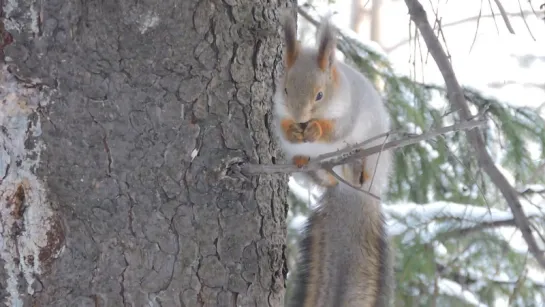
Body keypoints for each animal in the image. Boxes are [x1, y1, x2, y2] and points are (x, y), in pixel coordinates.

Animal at [272, 12, 396, 307]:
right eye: (285, 89)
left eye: (319, 94)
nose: (300, 117)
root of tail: (352, 191)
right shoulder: (279, 112)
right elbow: (283, 127)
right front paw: (293, 131)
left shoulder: (349, 112)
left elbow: (335, 130)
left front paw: (315, 130)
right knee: (323, 177)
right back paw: (313, 168)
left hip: (375, 155)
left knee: (364, 167)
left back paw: (359, 171)